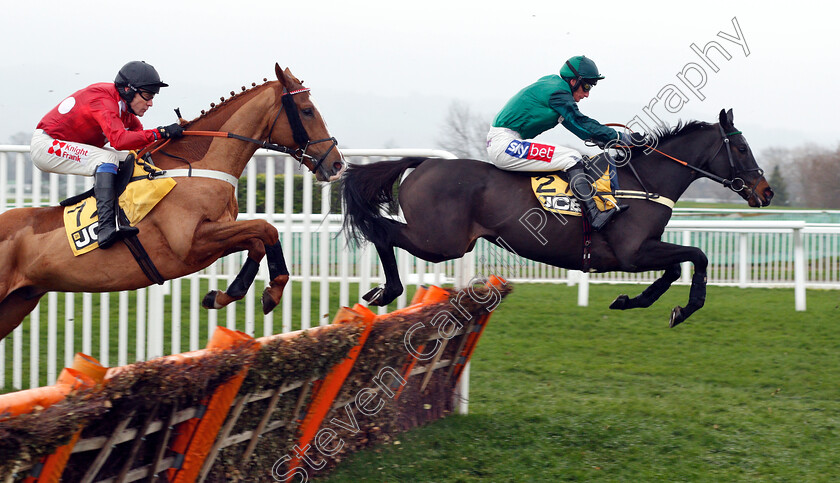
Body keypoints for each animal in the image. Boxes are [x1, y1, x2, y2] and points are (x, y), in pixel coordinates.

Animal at [0, 64, 344, 342]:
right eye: (307, 110)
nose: (337, 163)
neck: (197, 168)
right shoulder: (190, 244)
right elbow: (265, 228)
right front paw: (268, 292)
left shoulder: (217, 236)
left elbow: (259, 239)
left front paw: (224, 295)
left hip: (17, 303)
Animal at [342, 109, 776, 328]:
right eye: (740, 147)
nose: (766, 192)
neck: (644, 181)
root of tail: (424, 162)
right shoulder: (631, 252)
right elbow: (697, 256)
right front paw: (685, 309)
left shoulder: (641, 251)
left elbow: (675, 268)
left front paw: (630, 300)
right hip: (440, 242)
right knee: (383, 232)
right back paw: (387, 290)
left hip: (444, 241)